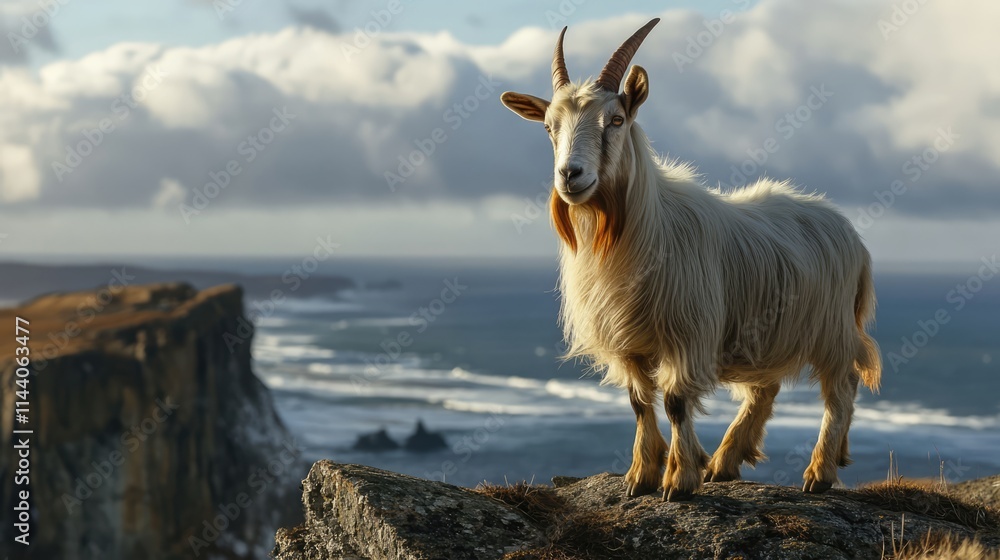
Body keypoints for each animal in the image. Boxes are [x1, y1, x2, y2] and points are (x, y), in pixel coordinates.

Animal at [500, 18, 881, 501]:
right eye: (549, 127)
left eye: (616, 120)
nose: (570, 175)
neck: (635, 229)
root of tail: (851, 234)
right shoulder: (628, 341)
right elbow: (638, 401)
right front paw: (641, 475)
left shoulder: (687, 331)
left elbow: (676, 402)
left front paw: (678, 480)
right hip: (766, 330)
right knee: (765, 389)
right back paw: (725, 461)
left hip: (831, 327)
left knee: (841, 389)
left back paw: (819, 471)